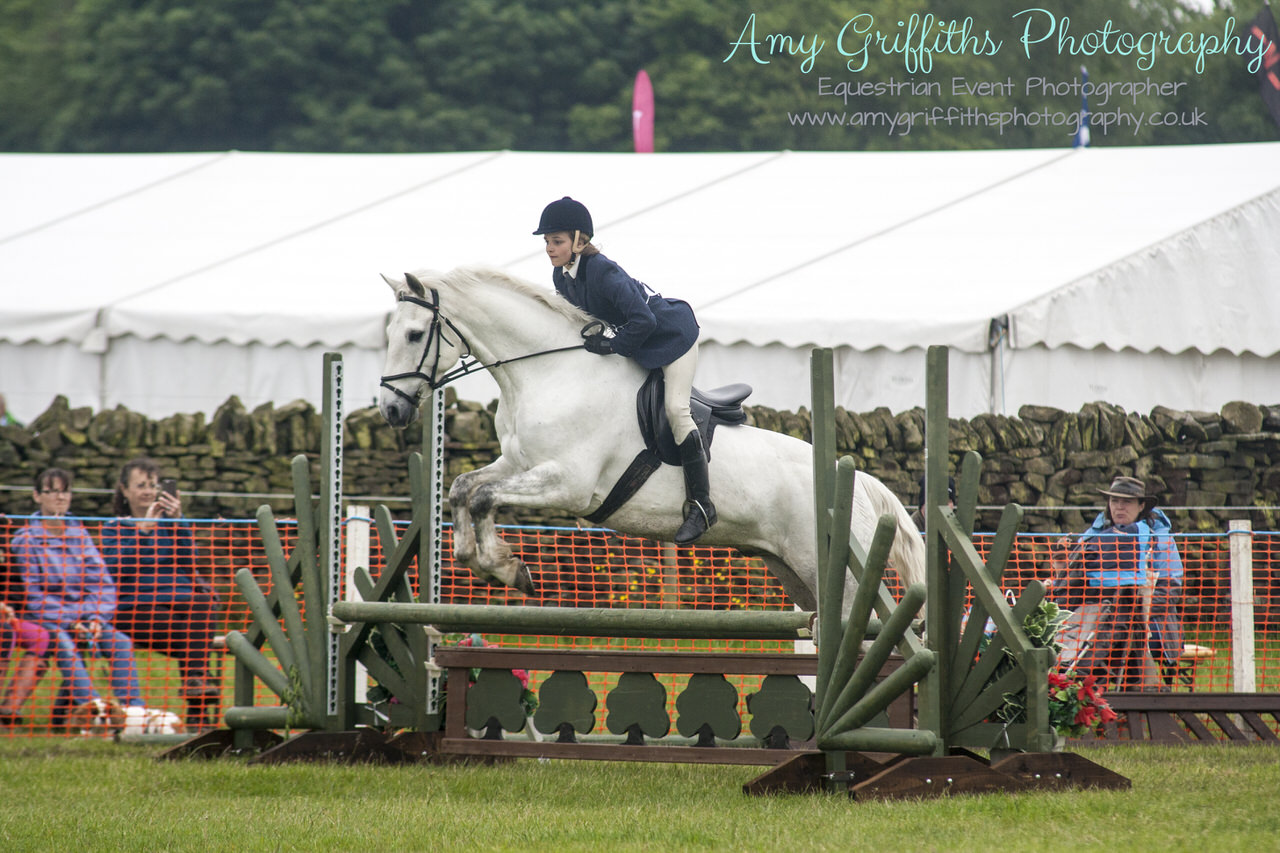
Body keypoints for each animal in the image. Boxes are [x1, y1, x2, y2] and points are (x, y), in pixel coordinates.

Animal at [373, 266, 926, 604]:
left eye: (415, 335)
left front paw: (508, 569)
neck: (548, 372)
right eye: (389, 334)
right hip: (793, 570)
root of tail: (860, 485)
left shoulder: (568, 483)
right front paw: (483, 562)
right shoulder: (519, 463)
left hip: (840, 573)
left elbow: (485, 497)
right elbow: (463, 488)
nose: (391, 410)